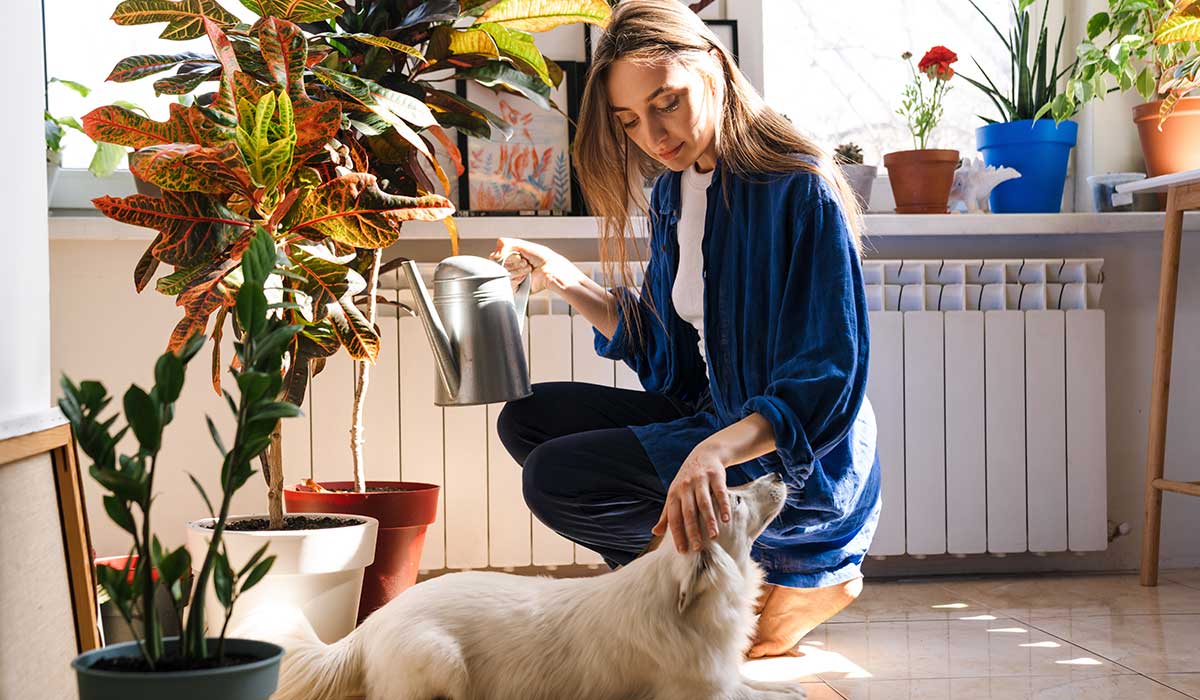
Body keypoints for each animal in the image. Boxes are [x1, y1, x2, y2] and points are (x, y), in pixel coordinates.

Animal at [267, 473, 801, 696]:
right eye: (733, 498)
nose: (778, 471)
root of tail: (367, 630)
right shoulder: (697, 692)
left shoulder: (721, 679)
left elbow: (764, 685)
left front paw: (785, 685)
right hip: (441, 660)